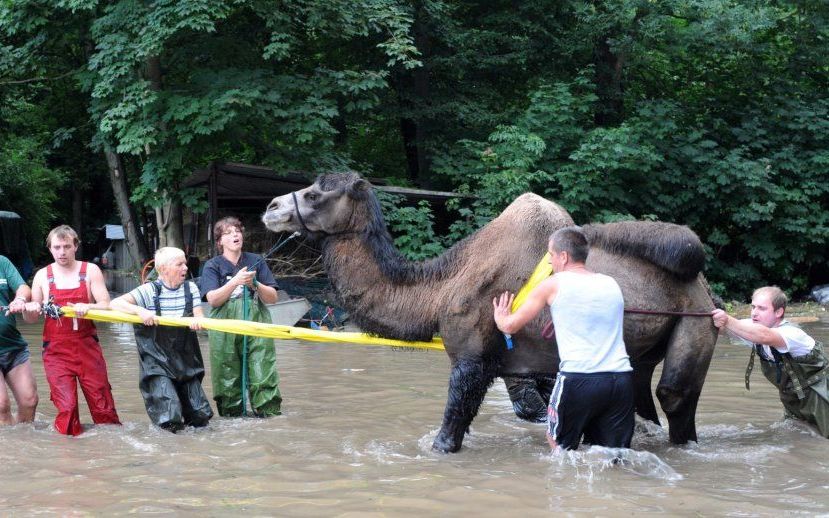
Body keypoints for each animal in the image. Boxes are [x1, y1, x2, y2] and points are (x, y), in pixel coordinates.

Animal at [262, 173, 716, 452]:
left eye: (315, 194)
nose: (270, 207)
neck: (439, 289)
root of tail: (703, 285)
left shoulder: (471, 358)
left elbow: (450, 431)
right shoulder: (519, 362)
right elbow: (528, 407)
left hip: (697, 324)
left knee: (674, 395)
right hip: (645, 347)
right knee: (642, 393)